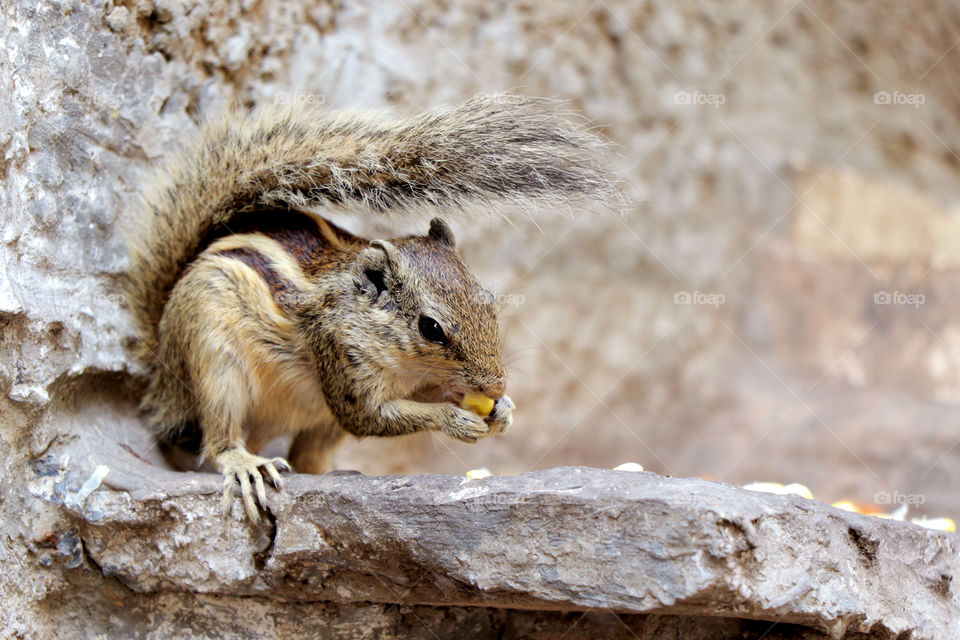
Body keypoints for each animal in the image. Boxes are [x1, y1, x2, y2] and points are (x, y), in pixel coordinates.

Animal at [126, 94, 613, 522]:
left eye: (490, 303)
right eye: (431, 328)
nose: (495, 385)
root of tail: (162, 378)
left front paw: (504, 409)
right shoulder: (341, 360)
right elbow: (371, 415)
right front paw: (456, 420)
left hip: (319, 424)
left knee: (307, 458)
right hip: (214, 362)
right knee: (220, 437)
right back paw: (245, 464)